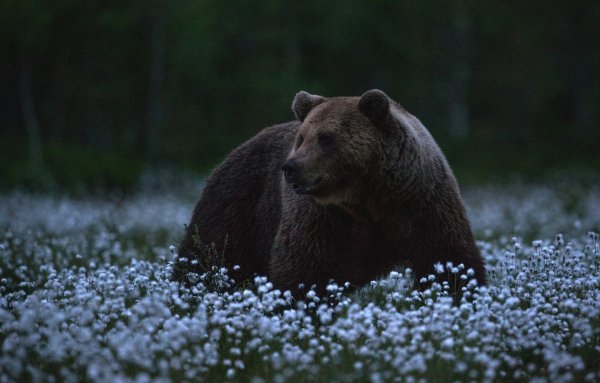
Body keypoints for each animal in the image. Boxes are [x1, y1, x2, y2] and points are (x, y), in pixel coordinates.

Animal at [175, 91, 488, 300]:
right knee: (211, 255)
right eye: (302, 138)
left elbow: (448, 257)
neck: (368, 198)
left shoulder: (423, 201)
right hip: (239, 202)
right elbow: (305, 267)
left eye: (326, 138)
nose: (291, 168)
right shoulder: (322, 217)